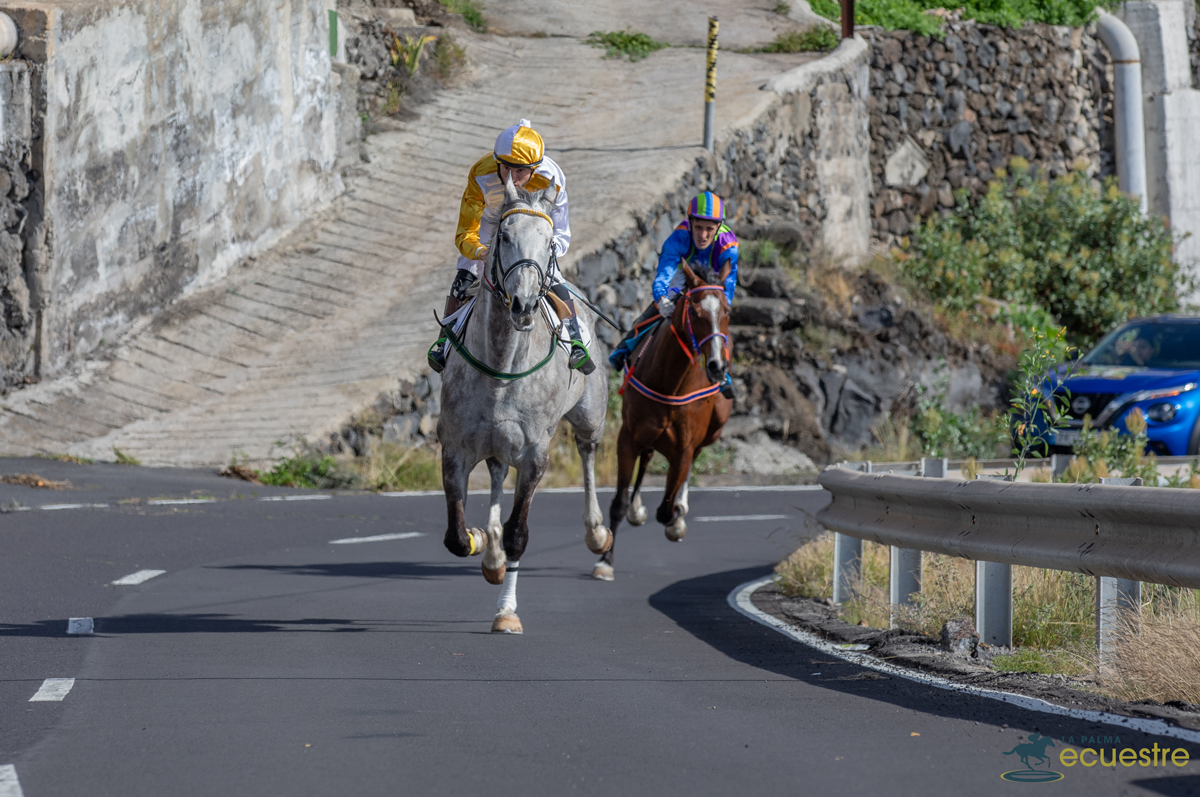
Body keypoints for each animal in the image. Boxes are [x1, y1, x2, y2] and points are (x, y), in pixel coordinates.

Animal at [437, 175, 612, 634]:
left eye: (549, 242)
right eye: (504, 236)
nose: (524, 304)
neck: (501, 367)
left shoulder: (535, 453)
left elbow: (519, 533)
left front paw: (506, 613)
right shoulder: (455, 447)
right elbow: (457, 537)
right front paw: (484, 543)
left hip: (589, 413)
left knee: (588, 449)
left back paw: (598, 534)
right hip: (497, 444)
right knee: (499, 471)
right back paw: (492, 553)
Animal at [597, 261, 732, 581]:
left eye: (727, 311)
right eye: (695, 312)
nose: (717, 366)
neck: (668, 381)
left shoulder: (683, 448)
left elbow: (667, 507)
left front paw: (675, 518)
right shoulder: (628, 437)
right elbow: (619, 502)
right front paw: (605, 561)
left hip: (714, 426)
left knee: (690, 463)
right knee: (646, 458)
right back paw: (638, 509)